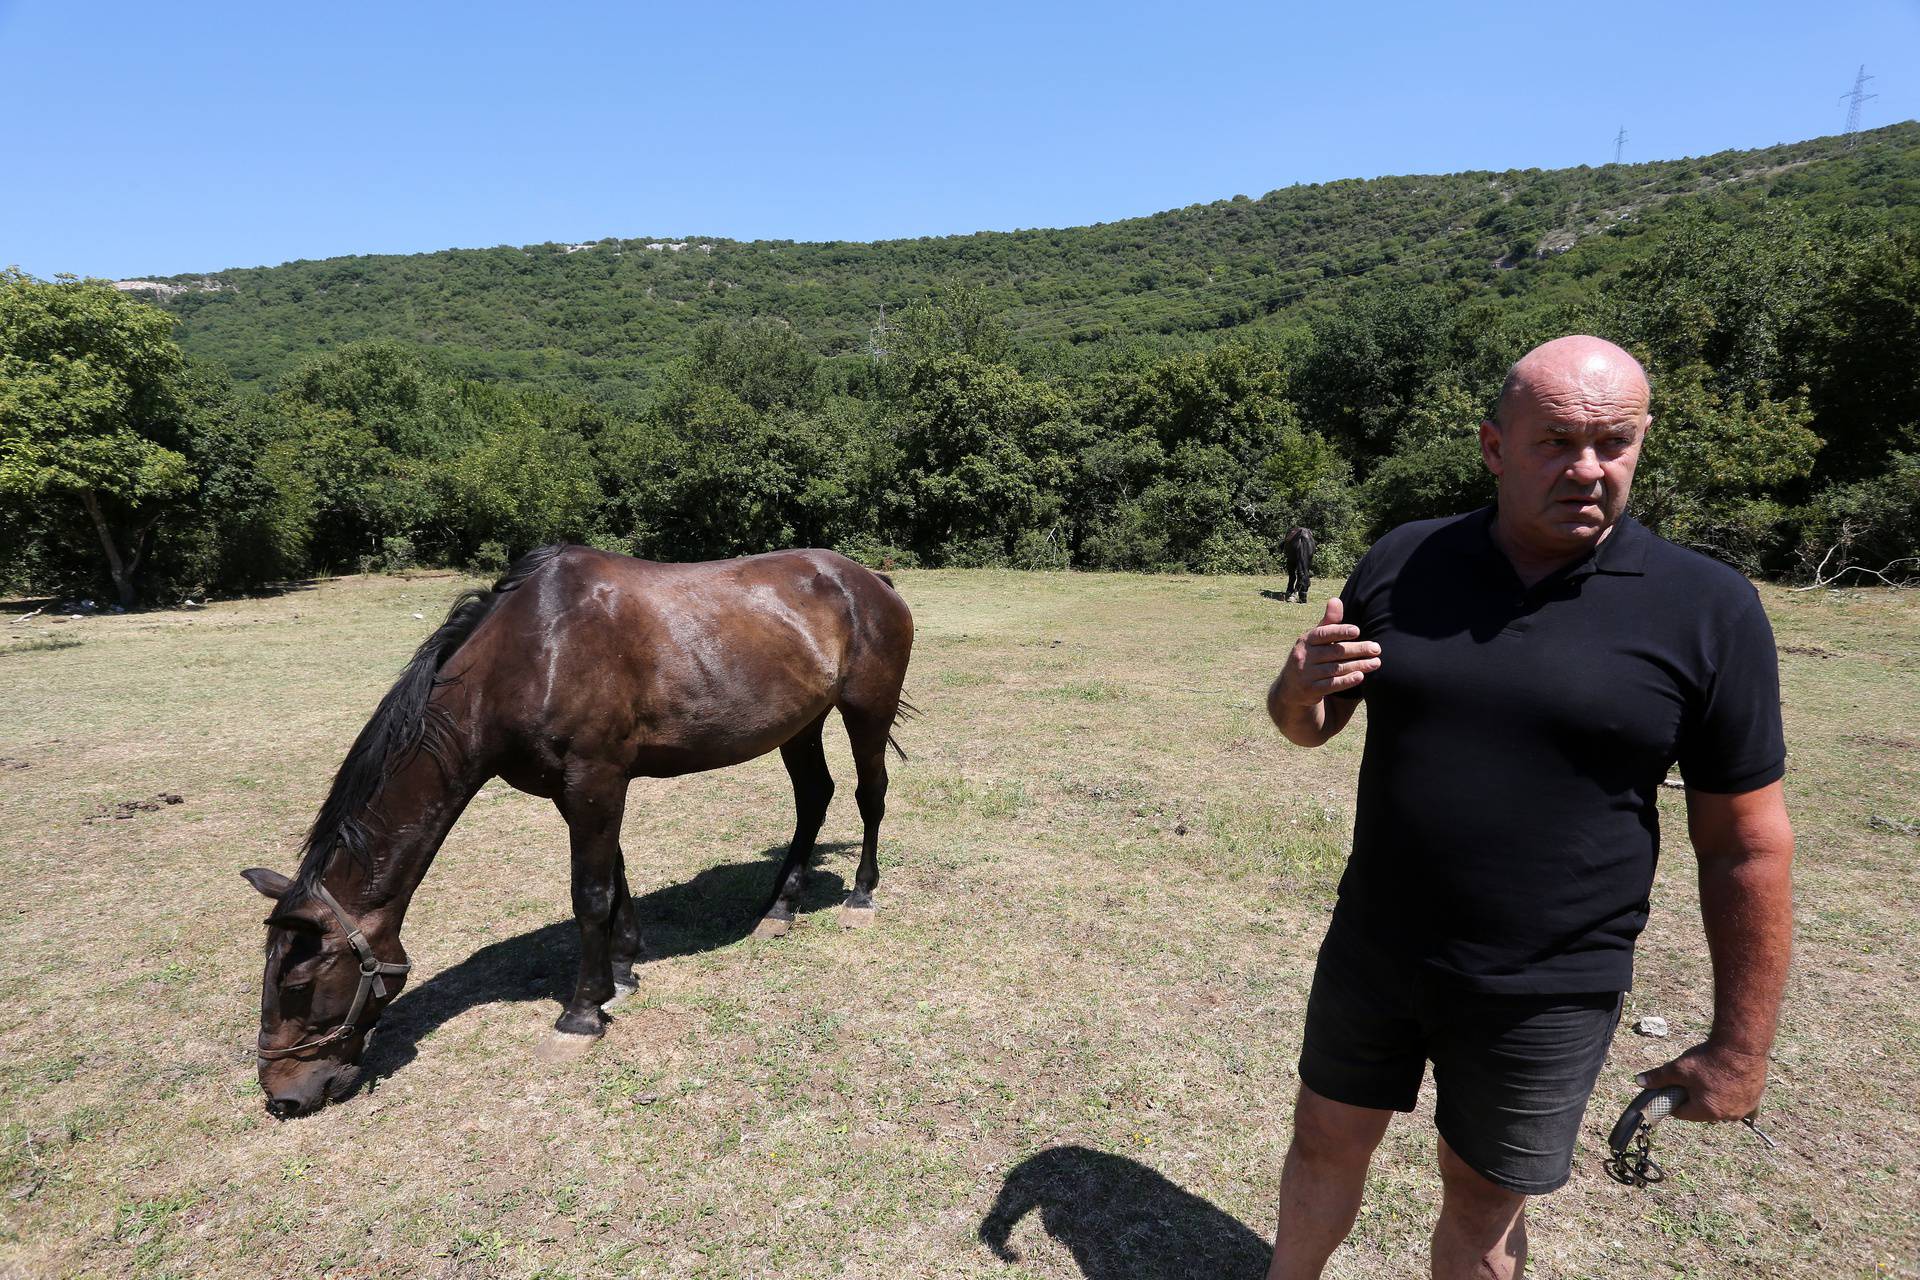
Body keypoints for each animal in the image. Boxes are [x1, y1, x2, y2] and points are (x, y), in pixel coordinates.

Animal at [240, 545, 913, 1113]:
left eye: (298, 982)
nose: (283, 1097)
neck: (528, 657)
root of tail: (867, 579)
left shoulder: (594, 780)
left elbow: (589, 895)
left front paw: (582, 1014)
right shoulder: (583, 791)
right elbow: (613, 880)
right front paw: (622, 970)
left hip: (865, 710)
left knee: (869, 795)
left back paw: (861, 894)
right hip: (800, 723)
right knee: (814, 797)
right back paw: (780, 907)